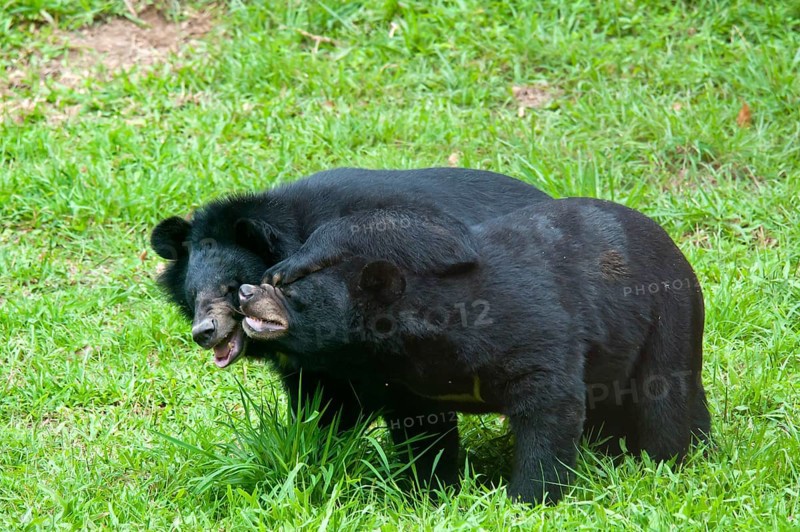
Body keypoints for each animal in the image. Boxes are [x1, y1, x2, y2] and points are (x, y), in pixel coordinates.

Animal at [150, 167, 551, 428]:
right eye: (193, 295)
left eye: (230, 287)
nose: (204, 332)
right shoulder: (310, 365)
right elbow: (321, 407)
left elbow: (437, 232)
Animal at [236, 201, 711, 504]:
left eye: (289, 290)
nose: (244, 293)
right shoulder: (412, 382)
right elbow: (422, 430)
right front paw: (430, 491)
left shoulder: (529, 329)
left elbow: (549, 405)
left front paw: (528, 498)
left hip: (666, 316)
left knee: (664, 395)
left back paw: (665, 462)